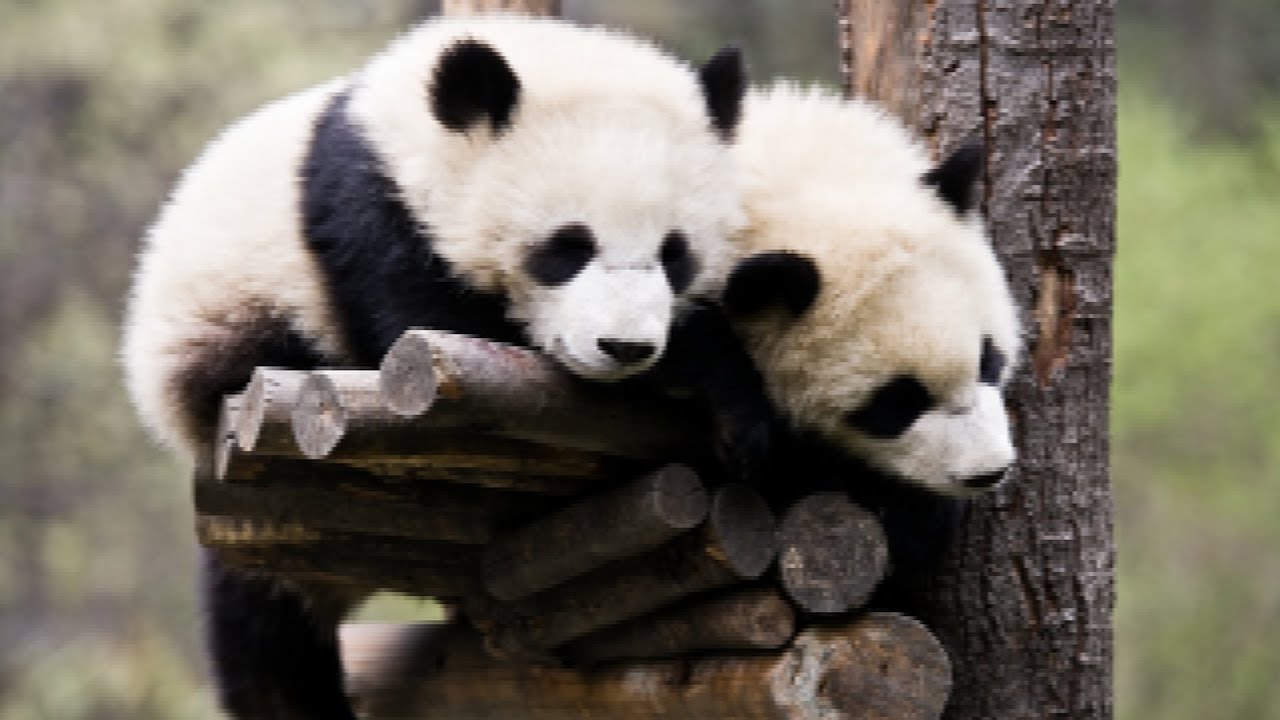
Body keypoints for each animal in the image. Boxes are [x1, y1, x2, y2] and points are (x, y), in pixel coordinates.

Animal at [121, 15, 749, 719]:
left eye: (675, 254)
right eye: (567, 248)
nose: (625, 348)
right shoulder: (371, 215)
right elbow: (433, 325)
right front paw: (701, 363)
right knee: (264, 624)